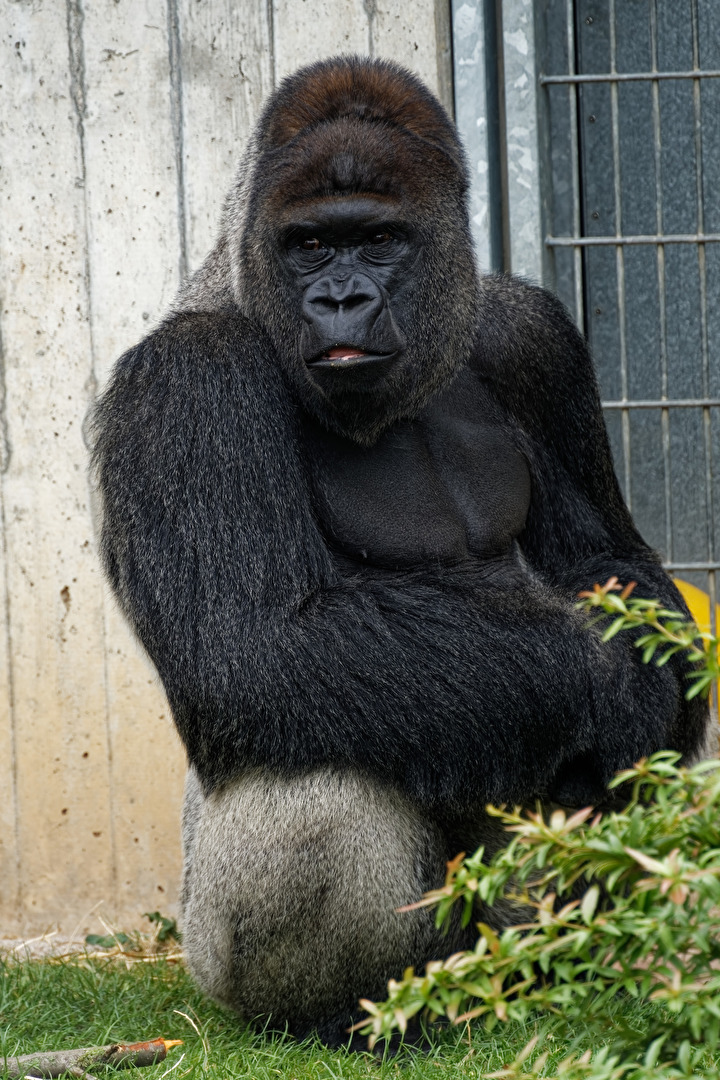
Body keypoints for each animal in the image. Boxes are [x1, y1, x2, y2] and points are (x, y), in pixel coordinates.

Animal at [90, 56, 712, 1046]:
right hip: (237, 954)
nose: (341, 299)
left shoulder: (533, 337)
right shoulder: (184, 381)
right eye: (309, 245)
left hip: (508, 942)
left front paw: (636, 674)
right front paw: (606, 678)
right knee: (315, 769)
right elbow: (258, 641)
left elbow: (616, 569)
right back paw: (349, 1013)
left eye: (379, 240)